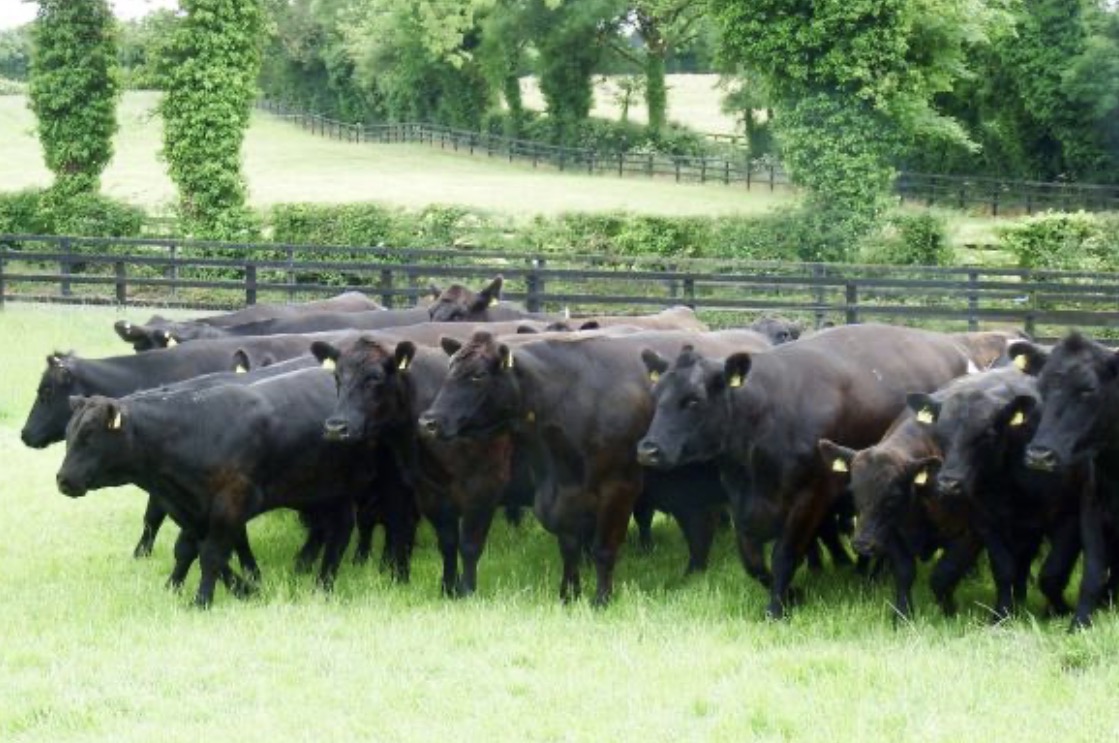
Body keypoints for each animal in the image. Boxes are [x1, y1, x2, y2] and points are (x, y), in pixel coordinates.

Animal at [56, 366, 377, 607]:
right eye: (68, 432)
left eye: (89, 433)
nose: (63, 479)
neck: (199, 431)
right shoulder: (190, 509)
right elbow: (188, 550)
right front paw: (177, 587)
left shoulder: (230, 503)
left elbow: (212, 554)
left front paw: (204, 600)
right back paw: (305, 567)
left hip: (341, 490)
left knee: (341, 531)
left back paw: (323, 584)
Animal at [416, 328, 771, 606]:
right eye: (449, 369)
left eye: (478, 375)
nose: (429, 421)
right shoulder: (560, 493)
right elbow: (570, 546)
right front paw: (568, 594)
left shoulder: (619, 488)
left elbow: (603, 549)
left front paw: (601, 599)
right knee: (700, 531)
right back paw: (691, 577)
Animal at [636, 324, 1018, 619]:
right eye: (657, 394)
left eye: (694, 400)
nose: (648, 449)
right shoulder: (741, 502)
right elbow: (753, 562)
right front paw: (793, 594)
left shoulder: (811, 497)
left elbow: (784, 555)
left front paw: (777, 608)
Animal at [1012, 332, 1119, 628]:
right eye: (1042, 388)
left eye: (1088, 389)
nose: (1040, 454)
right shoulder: (1092, 510)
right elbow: (1093, 573)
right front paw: (1079, 623)